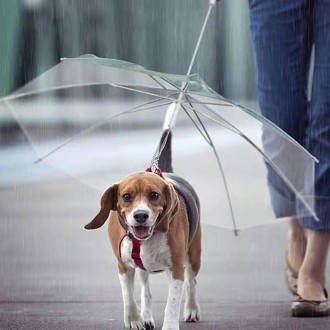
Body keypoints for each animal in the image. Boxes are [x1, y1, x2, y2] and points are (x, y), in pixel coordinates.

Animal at [85, 131, 201, 328]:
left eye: (154, 195)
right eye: (126, 196)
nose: (140, 215)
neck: (146, 238)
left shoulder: (176, 268)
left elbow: (172, 303)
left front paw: (170, 326)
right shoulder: (123, 265)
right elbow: (129, 296)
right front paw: (134, 319)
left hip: (193, 255)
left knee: (191, 282)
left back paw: (192, 309)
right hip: (142, 269)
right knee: (146, 291)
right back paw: (146, 316)